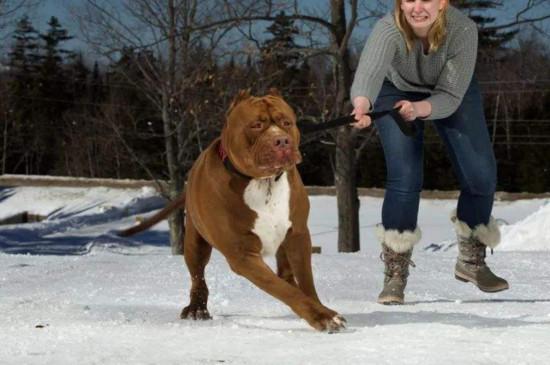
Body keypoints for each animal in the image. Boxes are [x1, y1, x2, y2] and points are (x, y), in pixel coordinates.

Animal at [120, 88, 344, 330]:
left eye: (287, 122)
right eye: (256, 125)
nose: (282, 140)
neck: (263, 183)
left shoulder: (298, 236)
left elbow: (305, 282)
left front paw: (320, 310)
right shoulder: (242, 254)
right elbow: (282, 290)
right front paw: (322, 316)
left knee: (285, 274)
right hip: (195, 244)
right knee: (198, 278)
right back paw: (197, 308)